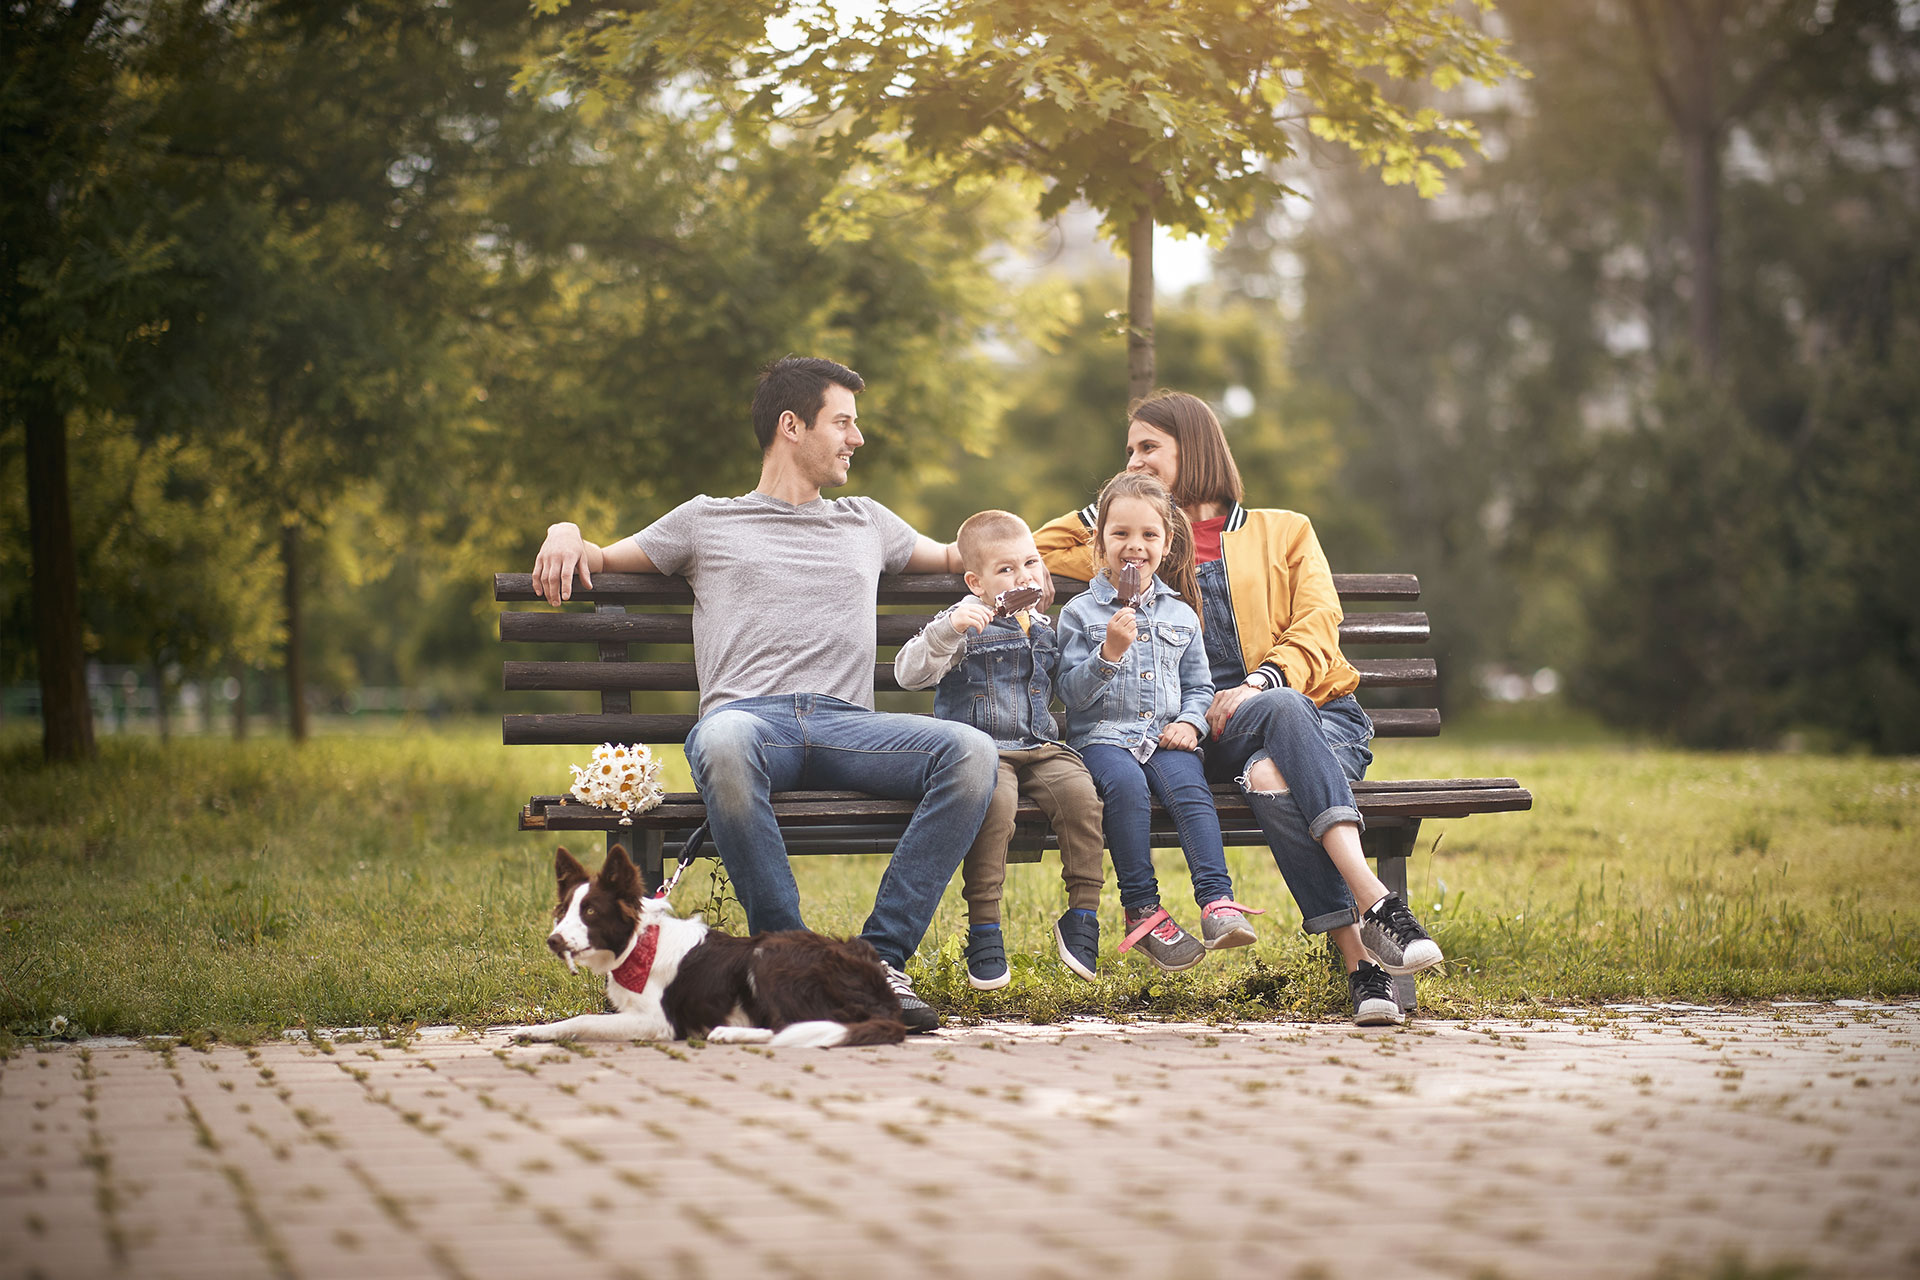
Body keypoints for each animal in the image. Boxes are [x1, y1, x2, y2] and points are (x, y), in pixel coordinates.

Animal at [510, 844, 906, 1043]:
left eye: (591, 911)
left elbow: (584, 1019)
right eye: (563, 911)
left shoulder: (658, 1022)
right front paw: (535, 1030)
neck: (638, 945)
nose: (553, 940)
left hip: (767, 954)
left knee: (785, 1026)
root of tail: (883, 996)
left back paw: (728, 1032)